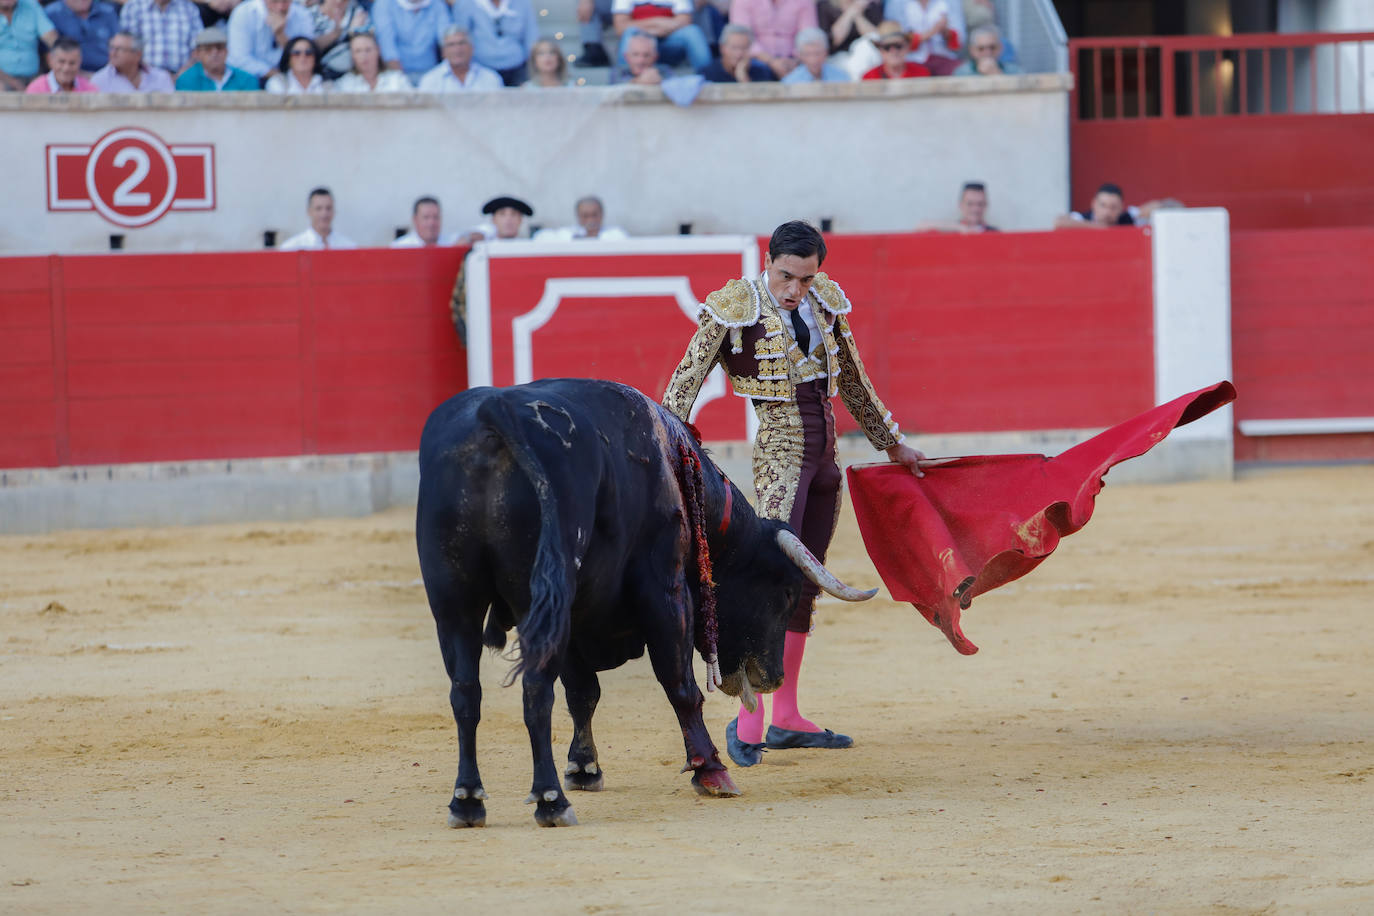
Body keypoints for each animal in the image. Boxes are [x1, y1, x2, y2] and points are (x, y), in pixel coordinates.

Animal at [412, 376, 873, 829]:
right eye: (786, 592)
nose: (772, 678)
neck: (673, 465)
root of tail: (496, 413)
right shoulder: (665, 591)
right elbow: (680, 685)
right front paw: (710, 770)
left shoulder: (573, 612)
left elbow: (582, 693)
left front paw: (584, 768)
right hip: (533, 601)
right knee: (535, 688)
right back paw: (550, 800)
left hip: (454, 603)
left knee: (466, 693)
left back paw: (467, 800)